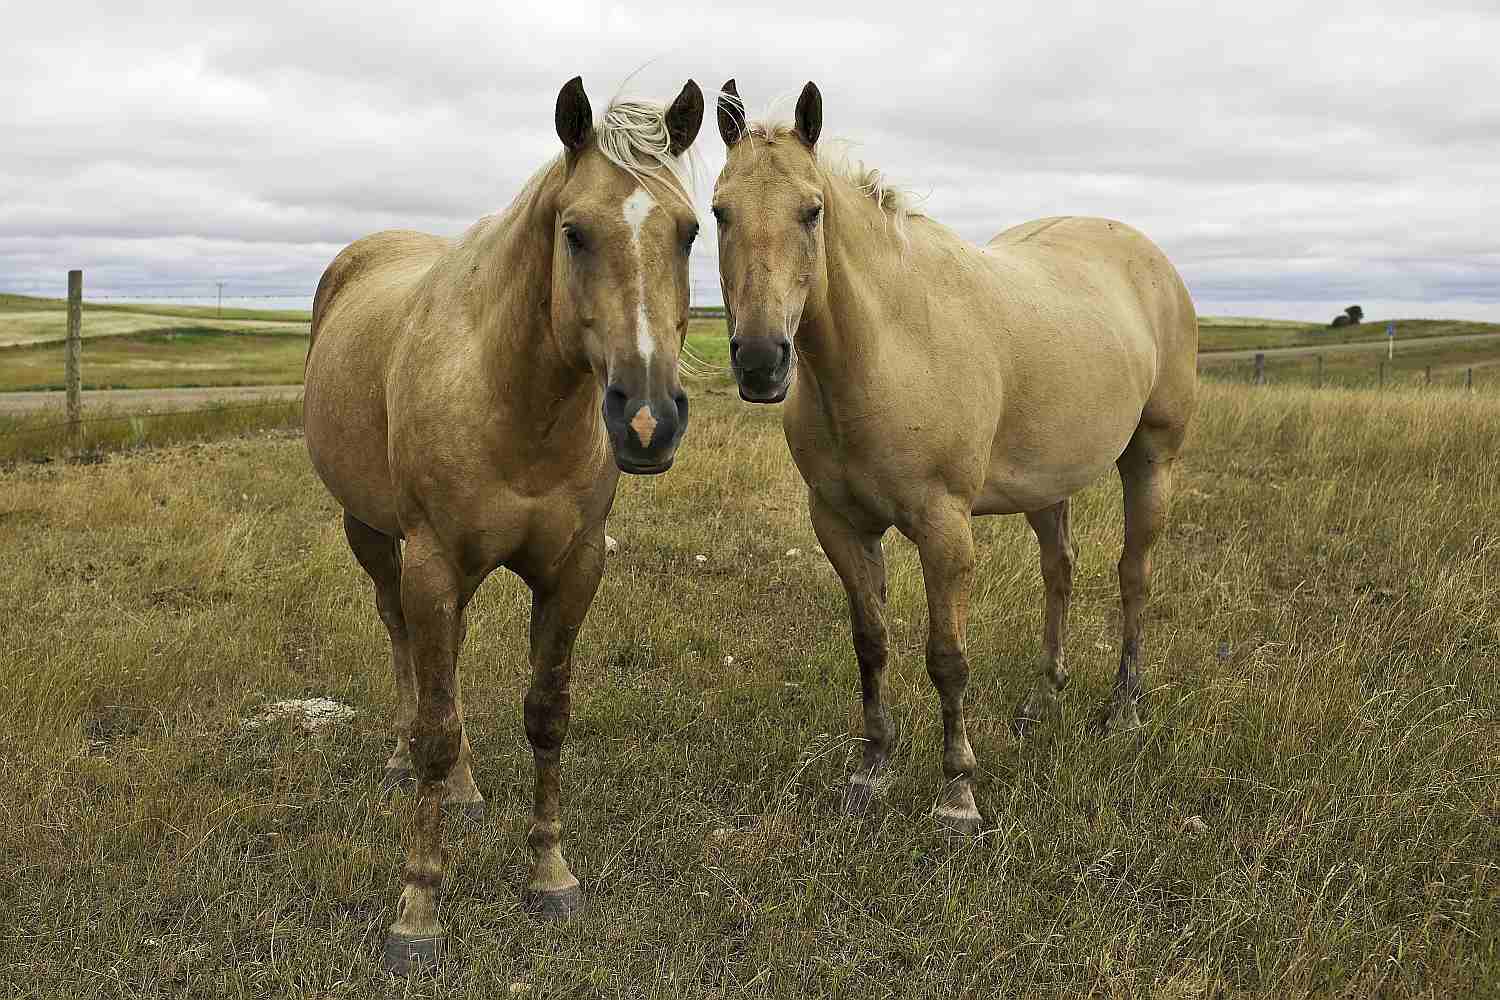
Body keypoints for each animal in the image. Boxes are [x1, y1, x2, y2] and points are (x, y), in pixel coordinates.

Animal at [304, 76, 708, 971]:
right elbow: (435, 725)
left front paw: (550, 875)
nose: (648, 421)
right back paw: (406, 763)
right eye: (574, 232)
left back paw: (464, 791)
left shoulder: (574, 568)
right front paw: (418, 910)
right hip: (373, 538)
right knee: (405, 651)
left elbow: (545, 714)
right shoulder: (429, 562)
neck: (514, 400)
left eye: (692, 231)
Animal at [711, 78, 1194, 833]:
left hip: (1151, 460)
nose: (761, 362)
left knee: (1133, 575)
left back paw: (1122, 708)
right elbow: (871, 642)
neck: (889, 349)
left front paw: (957, 792)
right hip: (1047, 484)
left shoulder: (945, 530)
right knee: (1060, 570)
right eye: (719, 211)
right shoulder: (841, 525)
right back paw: (1044, 697)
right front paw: (872, 766)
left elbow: (948, 658)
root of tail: (1154, 265)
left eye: (812, 211)